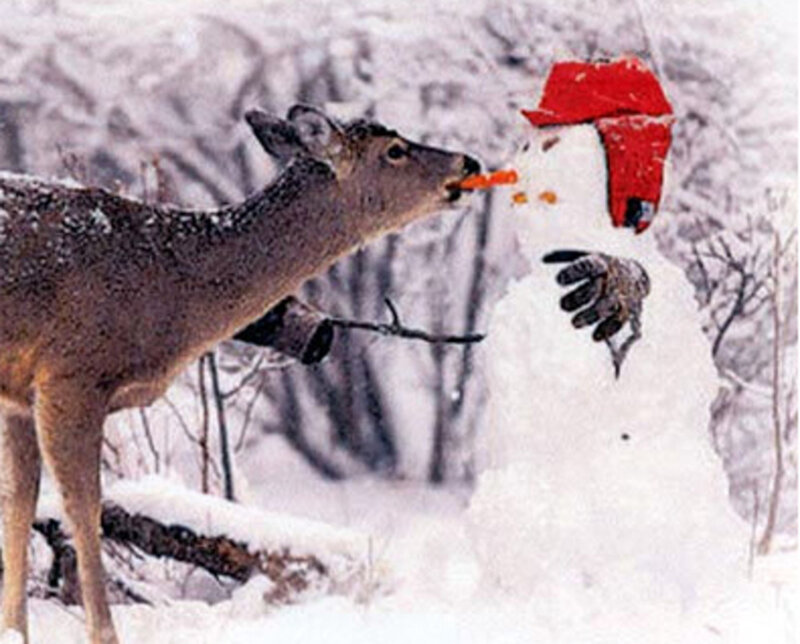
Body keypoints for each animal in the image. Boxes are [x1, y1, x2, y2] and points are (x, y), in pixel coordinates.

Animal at [0, 104, 480, 644]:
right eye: (394, 150)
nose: (468, 162)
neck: (166, 282)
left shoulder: (20, 394)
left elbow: (19, 504)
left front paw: (15, 630)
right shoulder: (71, 373)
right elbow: (83, 510)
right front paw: (105, 634)